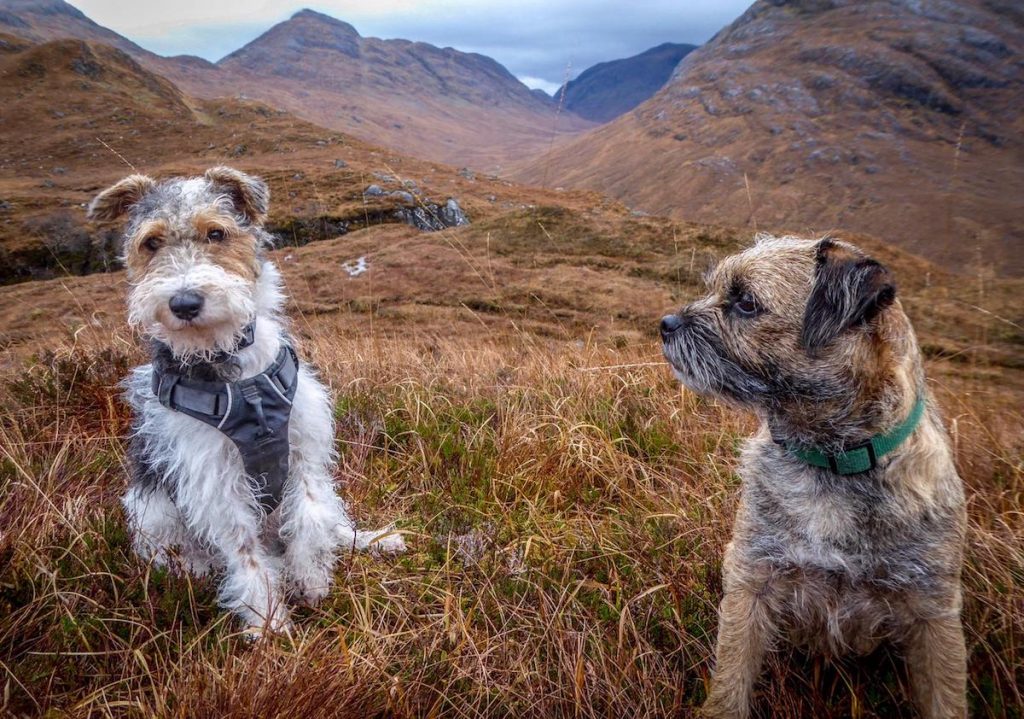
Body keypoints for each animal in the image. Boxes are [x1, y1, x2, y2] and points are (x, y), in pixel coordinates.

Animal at [663, 233, 966, 716]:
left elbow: (946, 698)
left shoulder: (933, 613)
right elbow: (730, 683)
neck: (832, 461)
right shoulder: (751, 583)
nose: (666, 323)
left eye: (745, 302)